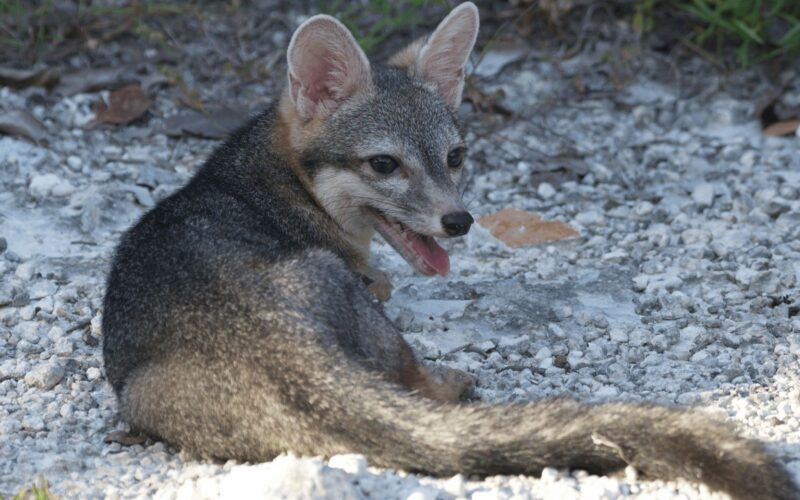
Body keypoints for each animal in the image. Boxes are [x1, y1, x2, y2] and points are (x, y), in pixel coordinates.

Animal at [101, 3, 797, 499]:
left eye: (456, 157)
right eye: (385, 164)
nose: (459, 221)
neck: (272, 180)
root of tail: (281, 351)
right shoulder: (368, 280)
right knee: (416, 382)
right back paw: (453, 381)